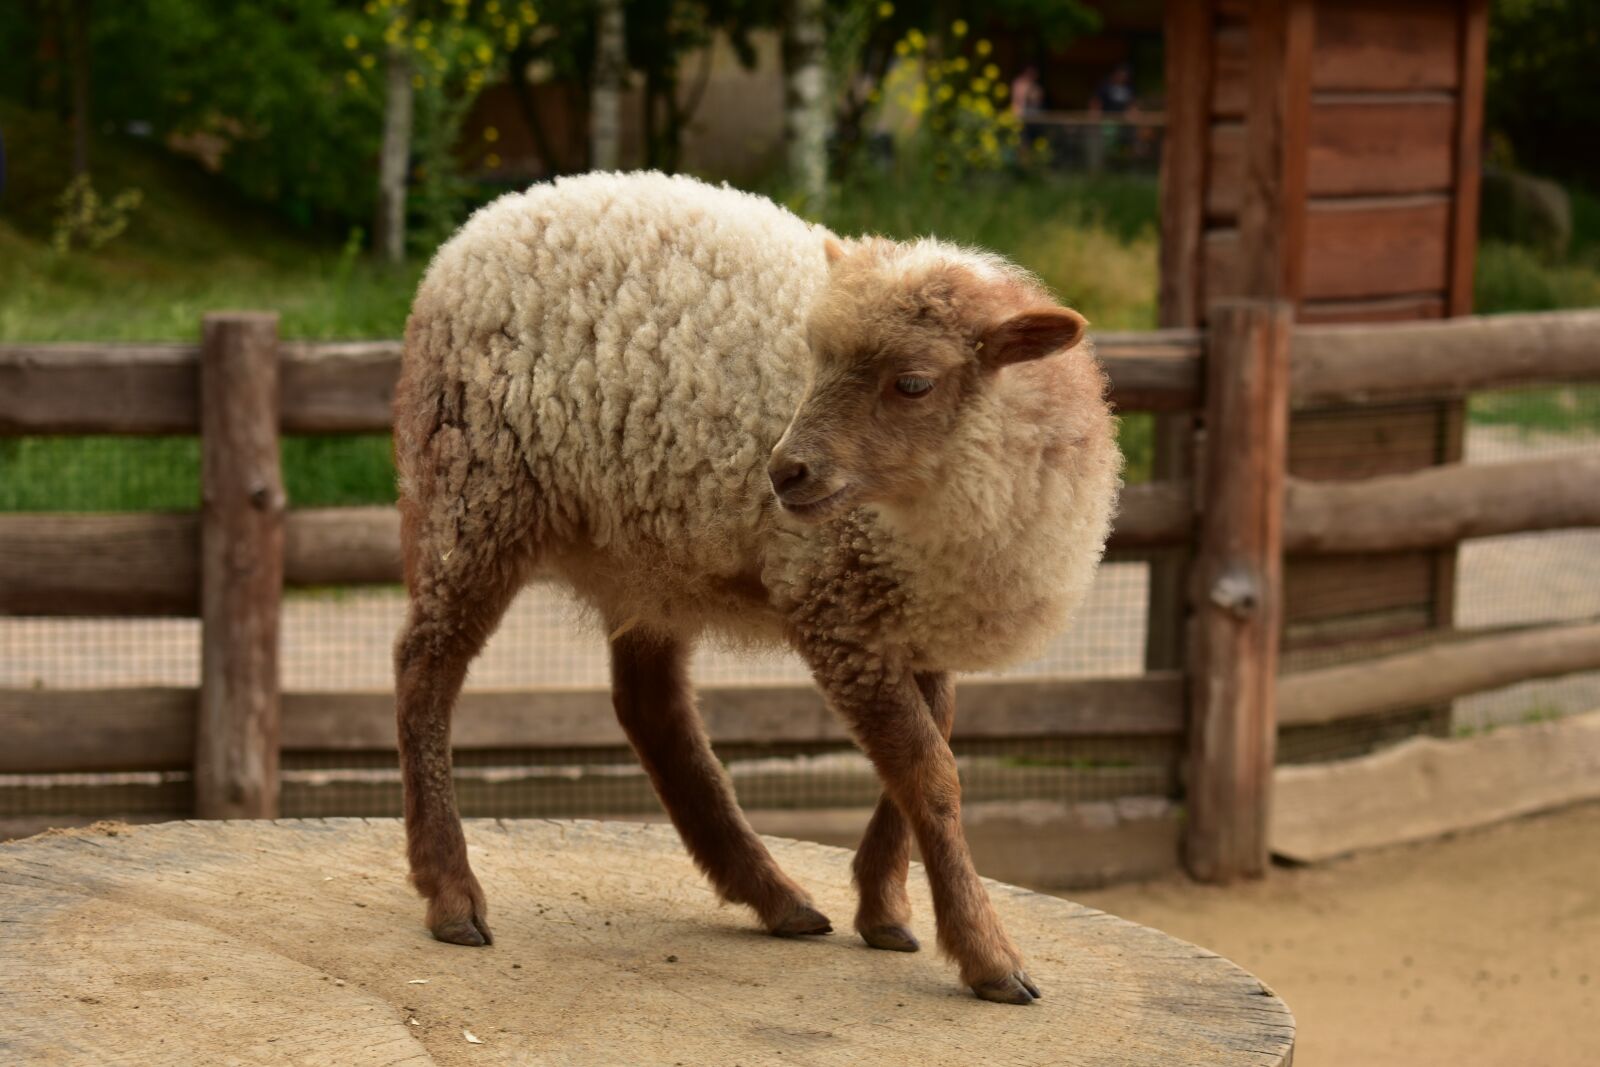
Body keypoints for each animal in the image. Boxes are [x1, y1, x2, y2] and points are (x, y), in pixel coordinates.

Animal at [393, 171, 1120, 1005]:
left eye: (913, 382)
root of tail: (484, 222)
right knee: (424, 670)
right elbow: (928, 771)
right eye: (813, 358)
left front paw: (884, 906)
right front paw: (986, 952)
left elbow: (924, 750)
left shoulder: (916, 615)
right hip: (472, 490)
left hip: (645, 546)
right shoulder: (836, 608)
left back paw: (774, 895)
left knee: (650, 706)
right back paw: (452, 893)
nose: (785, 472)